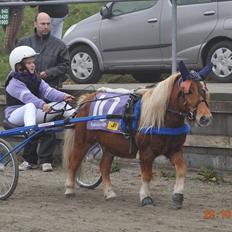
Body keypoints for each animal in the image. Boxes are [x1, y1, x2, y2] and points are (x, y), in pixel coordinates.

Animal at [63, 61, 212, 208]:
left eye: (204, 90)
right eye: (189, 91)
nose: (205, 118)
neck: (160, 118)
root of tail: (87, 99)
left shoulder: (174, 150)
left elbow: (181, 170)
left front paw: (178, 195)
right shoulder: (146, 152)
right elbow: (146, 175)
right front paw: (146, 197)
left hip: (110, 145)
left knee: (104, 167)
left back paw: (109, 192)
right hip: (83, 141)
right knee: (74, 162)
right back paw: (69, 189)